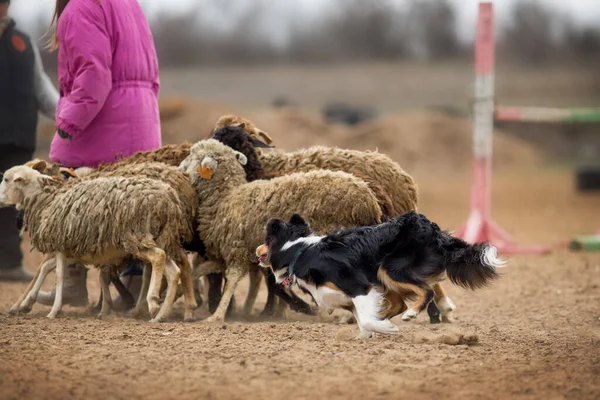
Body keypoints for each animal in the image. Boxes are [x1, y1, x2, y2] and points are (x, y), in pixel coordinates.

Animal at [179, 139, 384, 324]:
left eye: (193, 156)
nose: (180, 168)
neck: (226, 197)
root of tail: (368, 200)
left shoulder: (237, 251)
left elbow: (231, 282)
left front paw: (216, 316)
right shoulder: (225, 255)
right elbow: (198, 271)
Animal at [255, 212, 504, 338]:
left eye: (265, 241)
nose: (256, 250)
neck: (299, 251)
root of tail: (433, 229)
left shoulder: (360, 287)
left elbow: (366, 319)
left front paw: (386, 329)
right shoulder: (357, 295)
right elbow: (363, 321)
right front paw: (371, 333)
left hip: (389, 269)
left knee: (425, 291)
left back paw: (411, 314)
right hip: (383, 278)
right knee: (402, 302)